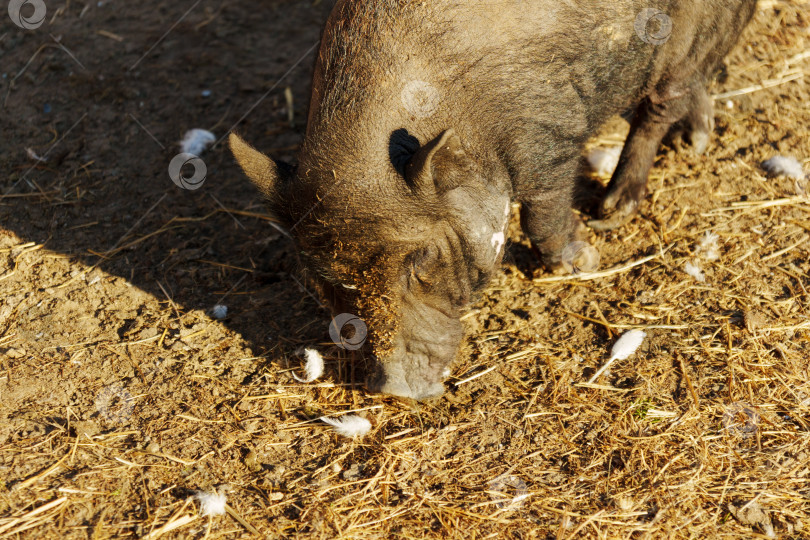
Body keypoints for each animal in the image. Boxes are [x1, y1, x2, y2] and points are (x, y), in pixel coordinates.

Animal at [230, 0, 756, 400]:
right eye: (323, 278)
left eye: (421, 259)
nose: (394, 390)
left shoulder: (549, 135)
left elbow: (543, 211)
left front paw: (582, 262)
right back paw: (695, 143)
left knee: (658, 106)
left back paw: (614, 210)